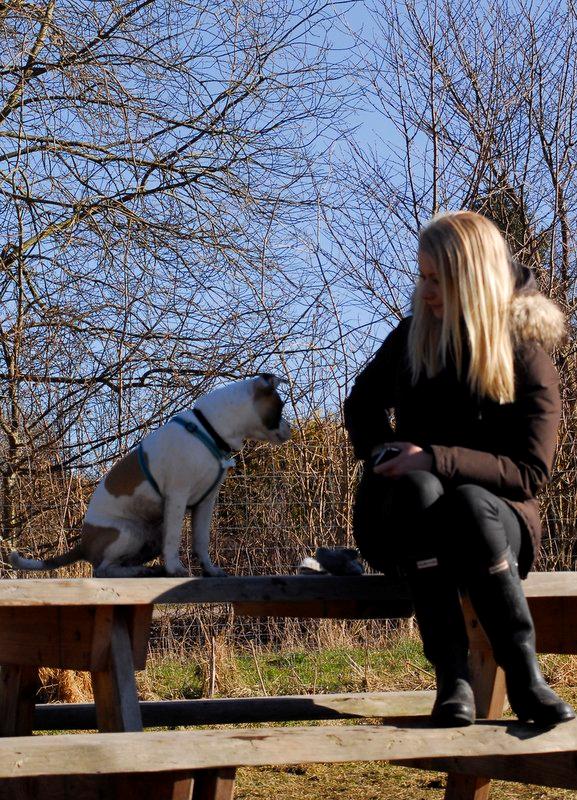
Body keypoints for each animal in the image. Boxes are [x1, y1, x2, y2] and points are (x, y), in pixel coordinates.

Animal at [12, 374, 292, 576]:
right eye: (280, 406)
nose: (290, 428)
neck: (209, 429)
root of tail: (83, 544)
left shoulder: (206, 503)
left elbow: (201, 540)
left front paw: (210, 570)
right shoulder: (177, 497)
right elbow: (174, 539)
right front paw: (175, 569)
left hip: (150, 536)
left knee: (118, 564)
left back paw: (146, 569)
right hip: (127, 532)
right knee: (103, 570)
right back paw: (140, 571)